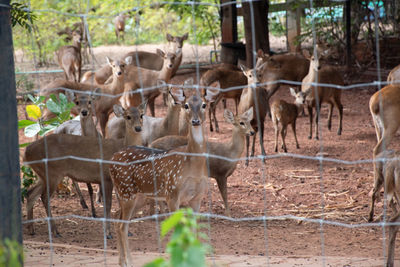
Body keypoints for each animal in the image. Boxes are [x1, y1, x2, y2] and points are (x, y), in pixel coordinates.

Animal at [23, 101, 146, 239]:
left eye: (141, 115)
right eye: (128, 116)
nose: (138, 128)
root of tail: (26, 152)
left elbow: (121, 204)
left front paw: (127, 232)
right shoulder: (106, 178)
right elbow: (108, 205)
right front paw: (108, 233)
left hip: (43, 174)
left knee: (31, 193)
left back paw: (31, 229)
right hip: (52, 172)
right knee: (44, 197)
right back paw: (55, 231)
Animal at [109, 88, 217, 267]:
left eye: (203, 104)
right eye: (186, 105)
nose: (195, 121)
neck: (192, 165)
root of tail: (111, 159)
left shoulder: (198, 197)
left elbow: (194, 233)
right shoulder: (172, 194)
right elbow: (178, 232)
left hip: (139, 197)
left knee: (117, 220)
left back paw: (121, 261)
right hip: (126, 191)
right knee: (122, 225)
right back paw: (129, 262)